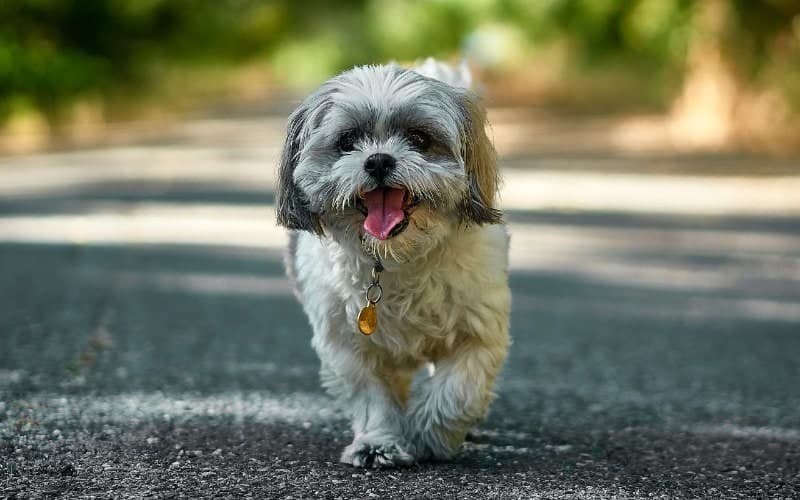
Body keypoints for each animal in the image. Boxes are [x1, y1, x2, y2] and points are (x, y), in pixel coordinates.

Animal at [278, 59, 510, 468]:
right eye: (347, 142)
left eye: (419, 139)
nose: (379, 160)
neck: (396, 259)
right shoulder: (347, 345)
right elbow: (372, 397)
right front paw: (378, 443)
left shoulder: (478, 331)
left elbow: (457, 390)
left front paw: (429, 435)